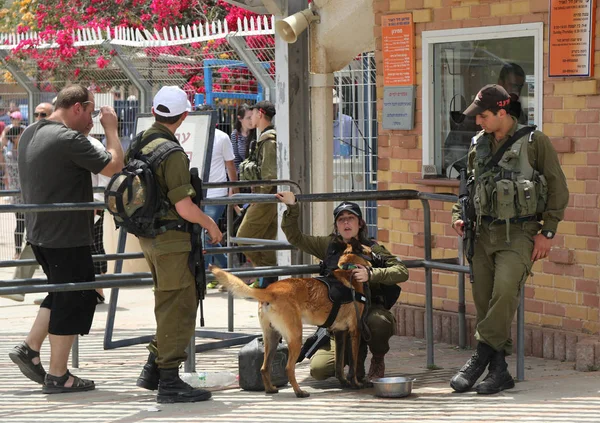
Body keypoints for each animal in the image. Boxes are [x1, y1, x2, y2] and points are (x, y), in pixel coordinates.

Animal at [209, 240, 372, 400]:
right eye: (370, 250)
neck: (349, 270)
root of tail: (269, 291)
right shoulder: (355, 331)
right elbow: (353, 363)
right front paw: (355, 383)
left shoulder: (339, 333)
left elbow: (339, 364)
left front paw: (344, 382)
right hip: (296, 337)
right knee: (289, 368)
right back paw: (299, 392)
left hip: (272, 337)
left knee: (264, 367)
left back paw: (270, 389)